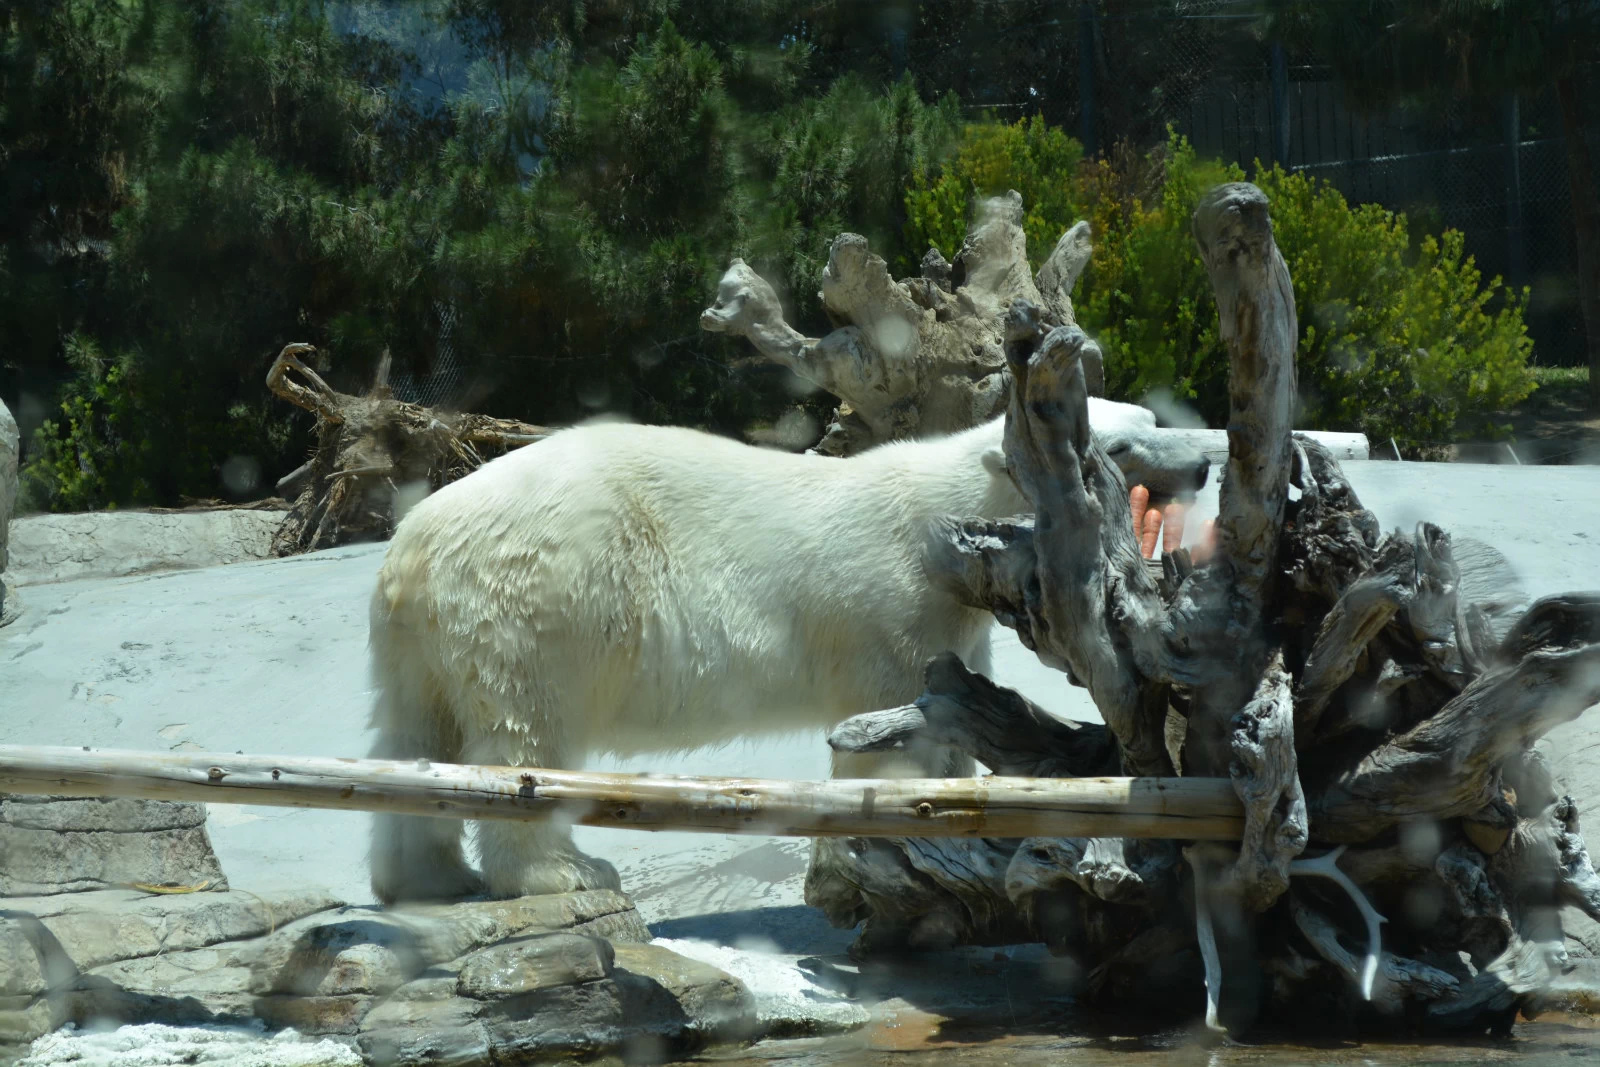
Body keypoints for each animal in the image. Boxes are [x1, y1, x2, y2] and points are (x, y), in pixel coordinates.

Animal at [366, 404, 1209, 908]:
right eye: (1121, 442)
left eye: (1148, 416)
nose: (1202, 464)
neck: (947, 522)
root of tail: (412, 541)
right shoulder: (889, 601)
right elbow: (891, 728)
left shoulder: (952, 615)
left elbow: (952, 704)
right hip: (543, 594)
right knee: (527, 731)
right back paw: (565, 869)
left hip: (425, 638)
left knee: (416, 731)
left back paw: (427, 877)